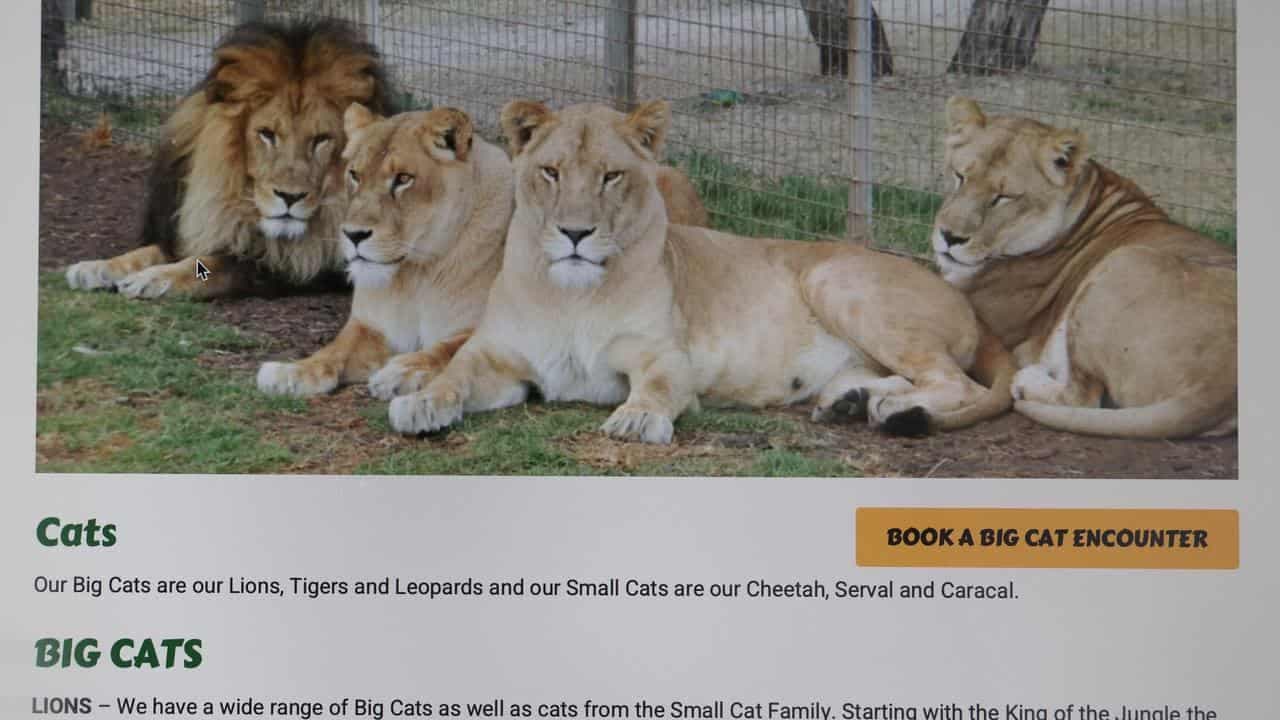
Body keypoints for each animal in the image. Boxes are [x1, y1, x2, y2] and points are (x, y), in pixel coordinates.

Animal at [64, 18, 394, 300]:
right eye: (267, 134)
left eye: (321, 139)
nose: (290, 197)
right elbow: (152, 251)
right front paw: (96, 267)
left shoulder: (299, 264)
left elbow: (211, 266)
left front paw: (153, 278)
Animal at [255, 104, 710, 399]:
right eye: (354, 174)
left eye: (403, 179)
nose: (353, 235)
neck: (413, 274)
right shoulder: (369, 326)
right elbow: (333, 350)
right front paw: (292, 372)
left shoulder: (488, 325)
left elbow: (446, 347)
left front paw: (402, 369)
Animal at [385, 99, 1014, 443]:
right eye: (551, 172)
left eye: (611, 176)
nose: (575, 234)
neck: (571, 295)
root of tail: (965, 300)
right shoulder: (499, 358)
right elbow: (456, 374)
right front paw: (420, 403)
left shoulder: (667, 357)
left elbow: (658, 387)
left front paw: (638, 419)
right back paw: (853, 402)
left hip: (834, 281)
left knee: (956, 383)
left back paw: (888, 410)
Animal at [931, 96, 1237, 439]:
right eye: (960, 176)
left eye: (1003, 197)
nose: (949, 236)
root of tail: (1218, 388)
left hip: (1123, 262)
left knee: (1083, 397)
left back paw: (1026, 380)